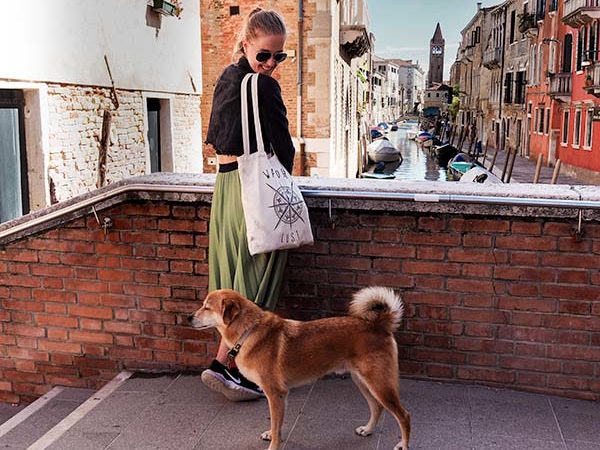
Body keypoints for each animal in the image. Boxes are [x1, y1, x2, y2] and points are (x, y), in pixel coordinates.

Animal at [190, 288, 410, 450]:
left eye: (207, 307)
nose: (188, 317)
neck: (249, 331)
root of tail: (379, 325)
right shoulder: (281, 395)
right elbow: (276, 424)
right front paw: (273, 434)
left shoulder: (275, 394)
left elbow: (276, 423)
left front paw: (273, 446)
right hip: (363, 382)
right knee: (377, 407)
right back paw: (368, 430)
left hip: (379, 384)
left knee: (404, 415)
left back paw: (403, 444)